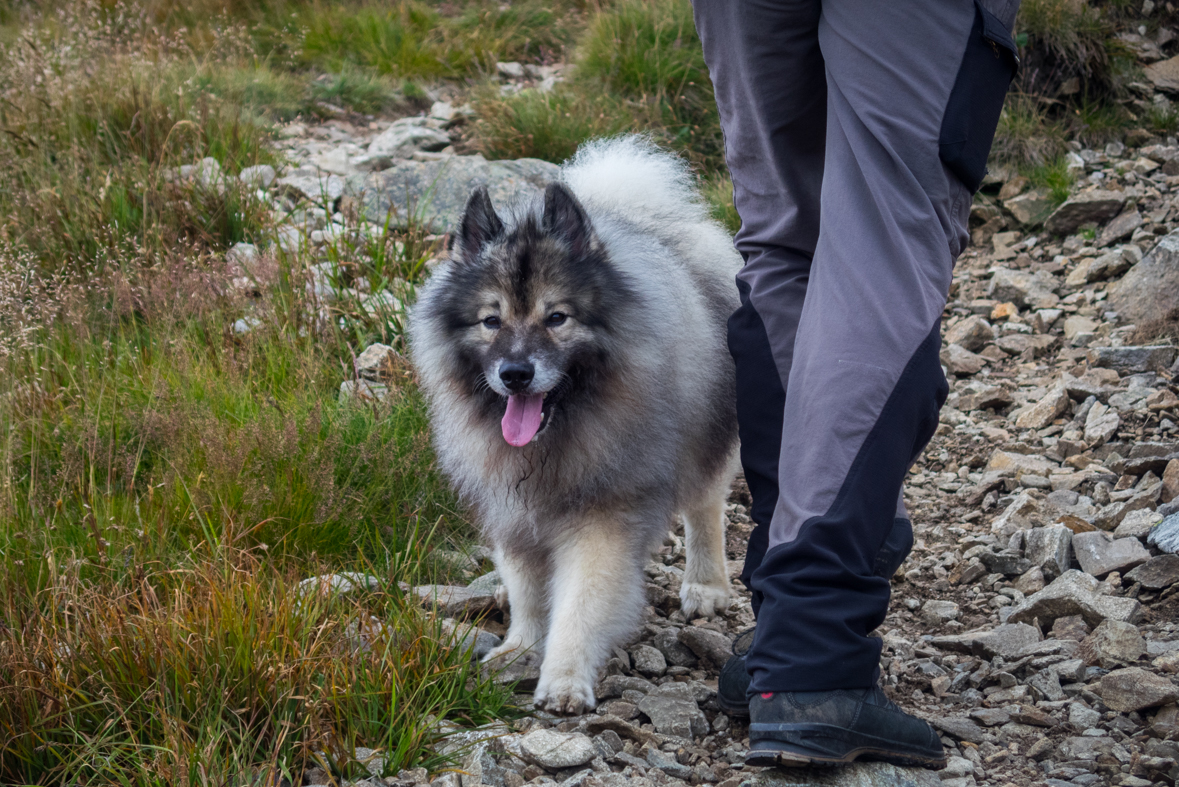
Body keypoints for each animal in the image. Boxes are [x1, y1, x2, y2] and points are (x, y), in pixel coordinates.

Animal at [405, 136, 735, 711]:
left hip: (706, 435)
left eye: (556, 318)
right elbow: (528, 591)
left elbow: (581, 602)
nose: (515, 374)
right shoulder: (515, 510)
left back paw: (705, 585)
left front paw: (562, 679)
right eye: (491, 320)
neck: (555, 435)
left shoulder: (601, 514)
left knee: (705, 506)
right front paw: (519, 649)